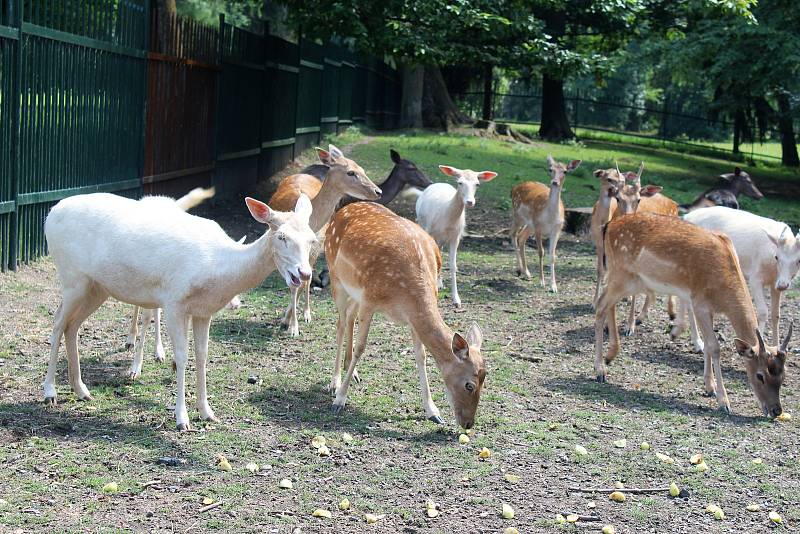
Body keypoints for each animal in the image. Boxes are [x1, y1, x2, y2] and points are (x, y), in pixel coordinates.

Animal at [268, 144, 382, 338]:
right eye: (351, 172)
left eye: (362, 169)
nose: (378, 191)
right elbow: (293, 284)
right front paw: (290, 325)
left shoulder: (316, 245)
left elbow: (303, 281)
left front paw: (292, 320)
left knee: (308, 279)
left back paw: (306, 313)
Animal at [324, 202, 488, 432]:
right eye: (469, 385)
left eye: (485, 379)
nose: (468, 423)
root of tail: (343, 208)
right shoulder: (369, 300)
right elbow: (361, 348)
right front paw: (339, 400)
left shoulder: (412, 317)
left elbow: (421, 356)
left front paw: (433, 412)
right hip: (335, 277)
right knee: (339, 323)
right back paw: (335, 383)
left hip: (354, 291)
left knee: (349, 317)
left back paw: (352, 373)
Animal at [512, 157, 580, 296]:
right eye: (550, 169)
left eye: (565, 171)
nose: (555, 182)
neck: (550, 217)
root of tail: (513, 188)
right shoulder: (538, 226)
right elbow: (541, 252)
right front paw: (542, 282)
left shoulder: (557, 230)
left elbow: (552, 255)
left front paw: (554, 286)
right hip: (518, 216)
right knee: (513, 235)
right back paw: (519, 269)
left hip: (529, 225)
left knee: (521, 237)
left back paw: (527, 273)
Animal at [592, 214, 788, 418]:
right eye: (760, 375)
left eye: (783, 375)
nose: (776, 410)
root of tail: (608, 225)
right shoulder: (700, 303)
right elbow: (714, 347)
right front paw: (723, 402)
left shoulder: (707, 308)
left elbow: (708, 346)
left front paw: (709, 387)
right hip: (621, 274)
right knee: (600, 306)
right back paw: (600, 370)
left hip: (630, 280)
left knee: (609, 305)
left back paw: (610, 355)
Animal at [680, 207, 800, 346]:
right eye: (777, 257)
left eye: (799, 260)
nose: (783, 285)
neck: (773, 270)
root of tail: (686, 216)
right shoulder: (755, 278)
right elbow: (763, 312)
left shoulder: (775, 283)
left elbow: (776, 314)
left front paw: (777, 345)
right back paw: (698, 343)